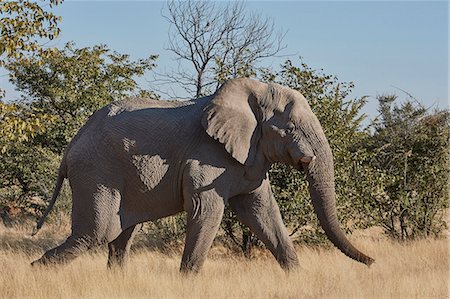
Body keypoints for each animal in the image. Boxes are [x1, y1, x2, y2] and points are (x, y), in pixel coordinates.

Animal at [33, 77, 374, 272]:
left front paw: (297, 277)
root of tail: (72, 143)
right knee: (96, 232)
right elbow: (207, 209)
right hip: (96, 173)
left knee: (120, 236)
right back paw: (36, 273)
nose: (372, 262)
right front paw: (187, 281)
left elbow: (263, 212)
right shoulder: (206, 157)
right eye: (289, 128)